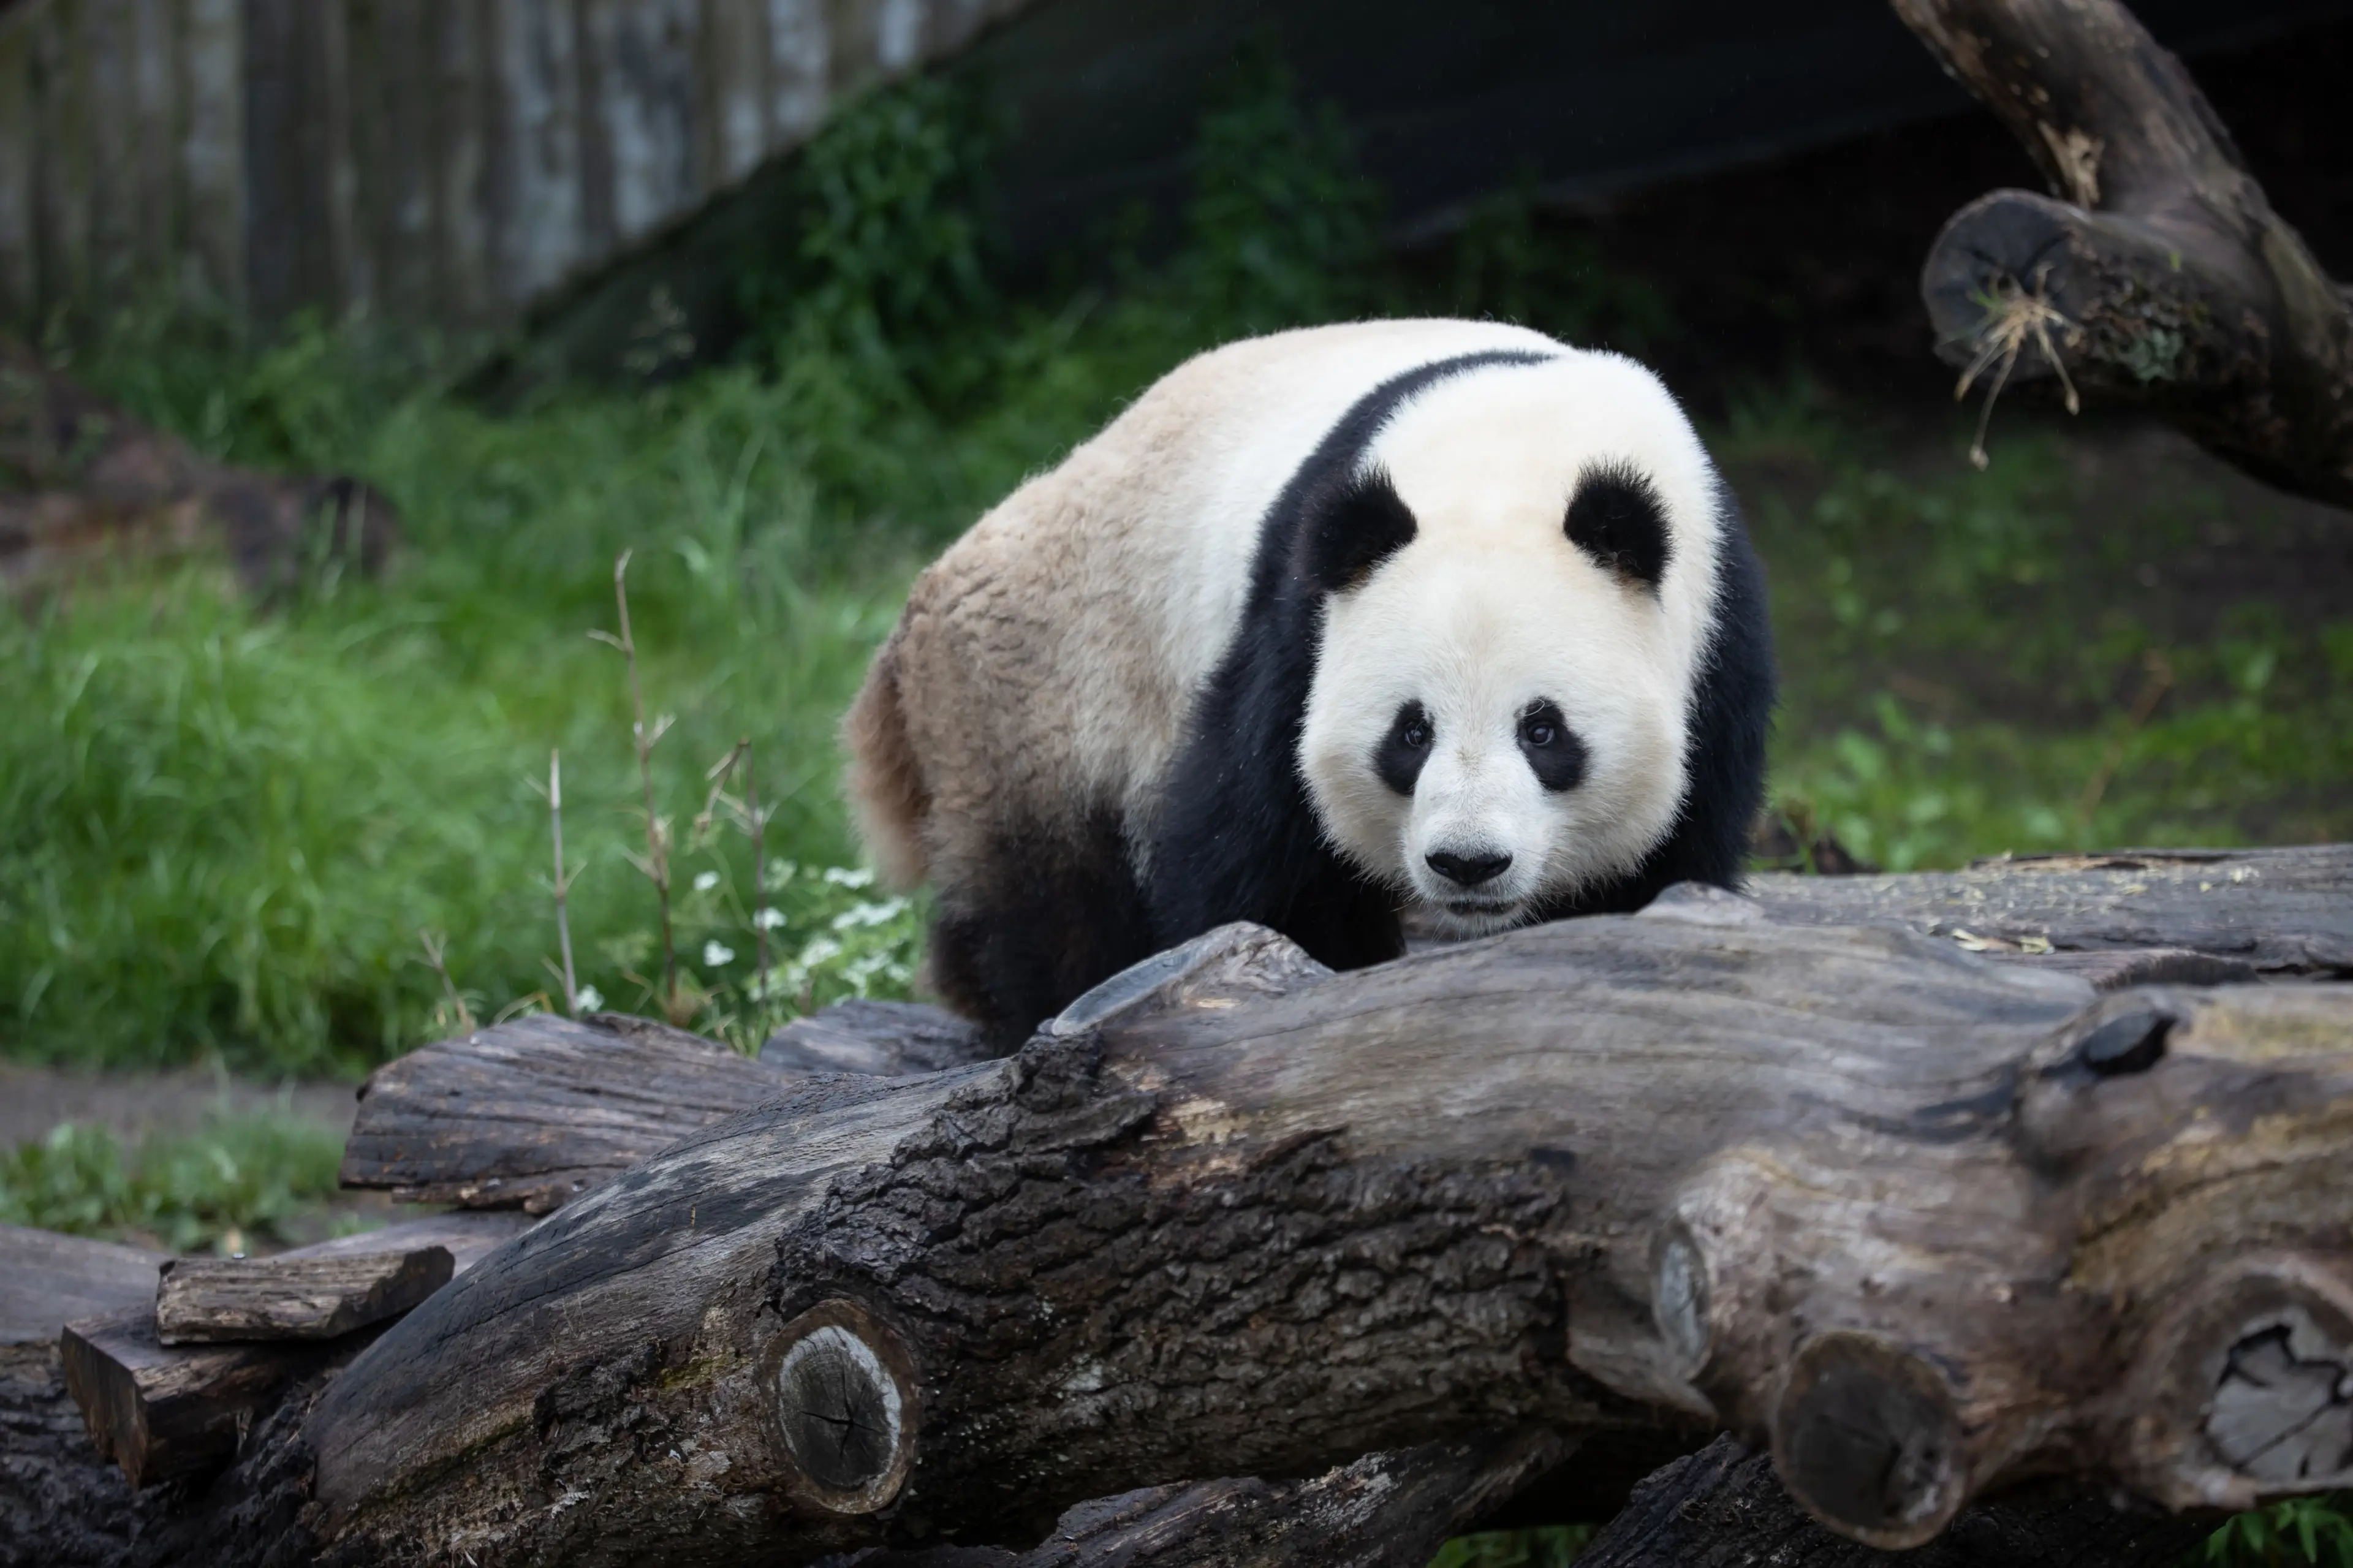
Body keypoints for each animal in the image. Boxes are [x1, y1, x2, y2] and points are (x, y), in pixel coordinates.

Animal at [844, 318, 1775, 1044]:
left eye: (1543, 730)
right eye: (1411, 732)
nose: (1467, 863)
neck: (1520, 457)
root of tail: (919, 610)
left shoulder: (1716, 639)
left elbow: (1670, 853)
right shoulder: (1300, 615)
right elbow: (1259, 850)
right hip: (1040, 694)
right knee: (1049, 896)